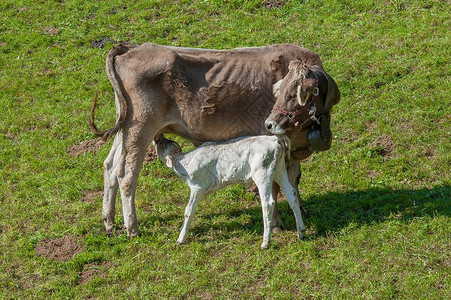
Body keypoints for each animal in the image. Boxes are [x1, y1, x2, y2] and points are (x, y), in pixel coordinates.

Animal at [155, 135, 308, 247]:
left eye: (162, 144)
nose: (159, 136)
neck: (184, 163)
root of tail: (276, 139)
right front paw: (181, 230)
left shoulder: (197, 187)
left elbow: (188, 210)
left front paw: (180, 239)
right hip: (279, 170)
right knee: (292, 194)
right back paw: (301, 233)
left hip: (262, 173)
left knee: (268, 203)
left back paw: (265, 242)